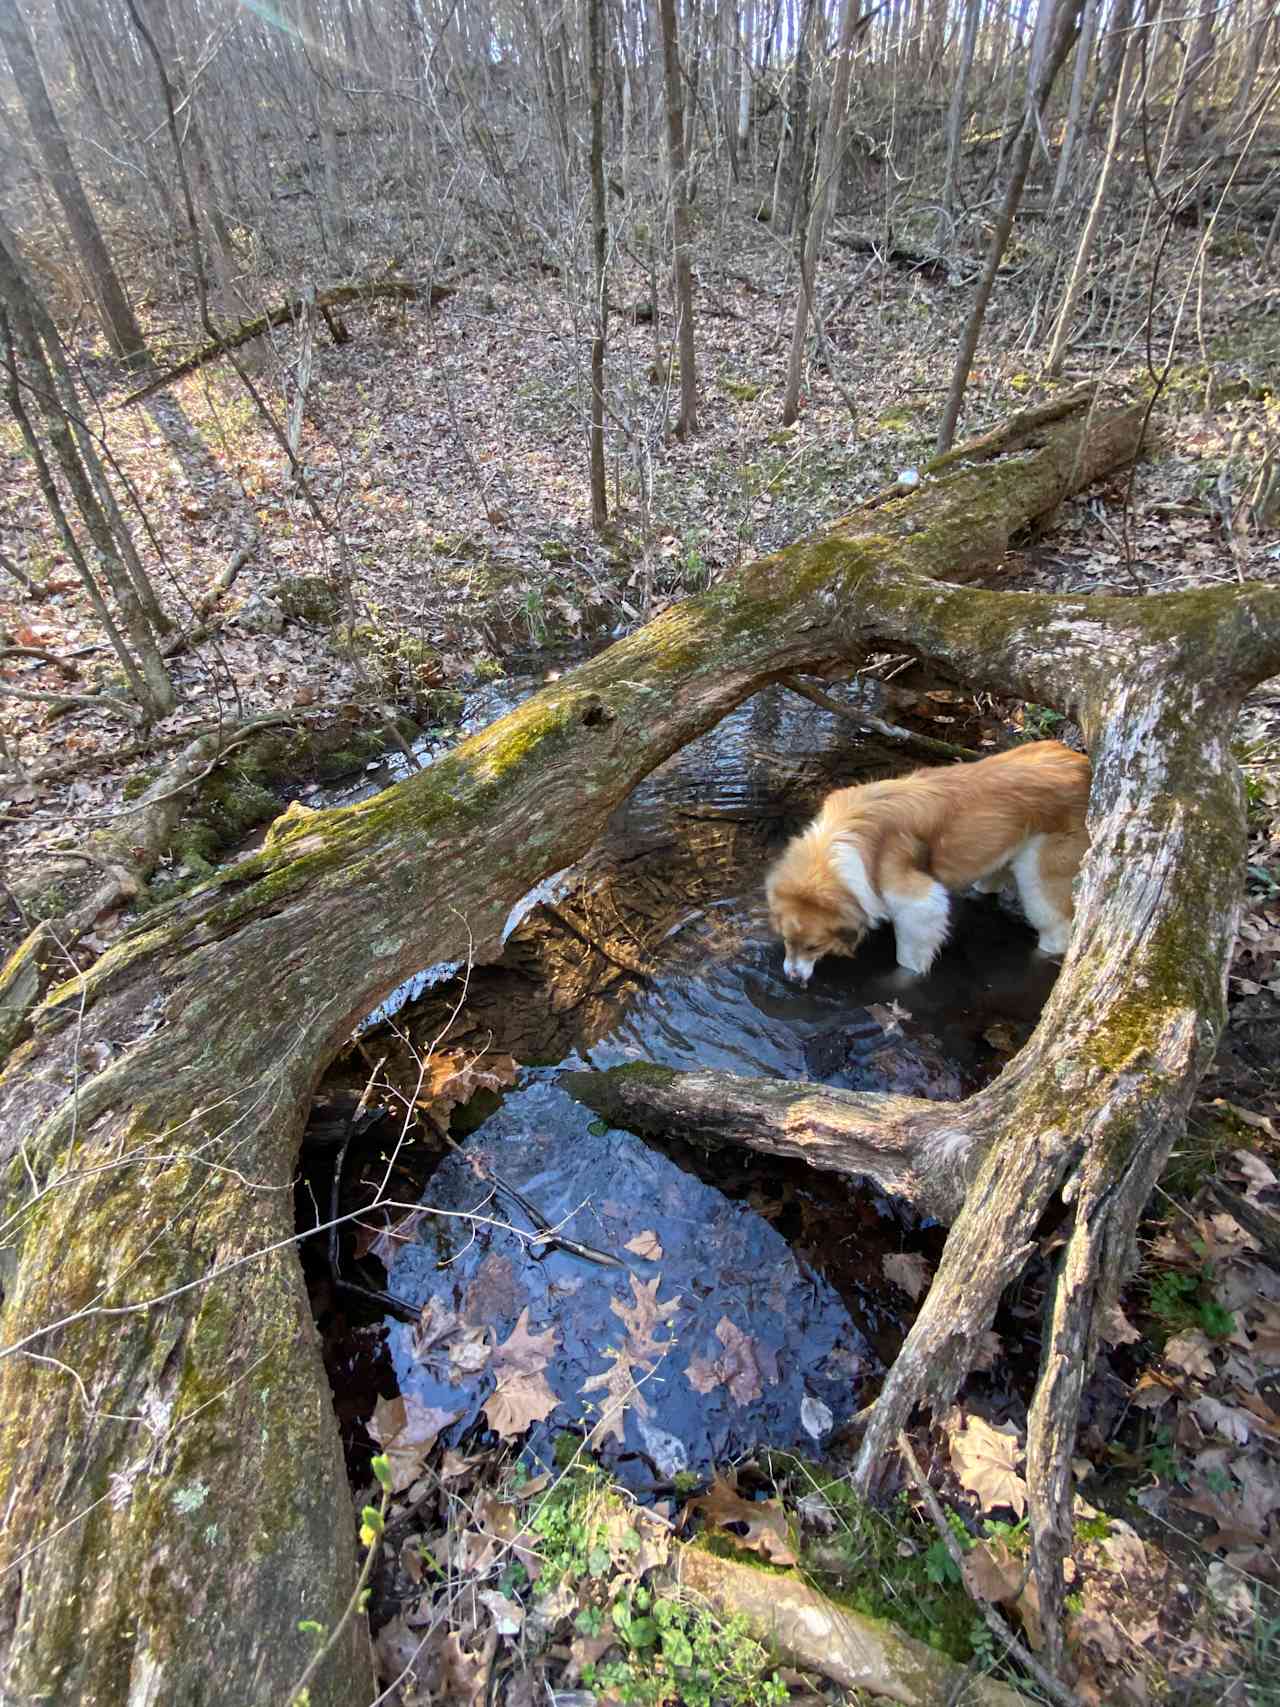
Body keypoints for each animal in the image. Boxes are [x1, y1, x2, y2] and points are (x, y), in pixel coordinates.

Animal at [761, 737, 1092, 990]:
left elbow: (909, 956)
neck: (834, 850)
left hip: (1040, 878)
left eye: (814, 947)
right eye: (787, 940)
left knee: (1056, 930)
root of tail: (1084, 765)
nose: (791, 978)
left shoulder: (918, 903)